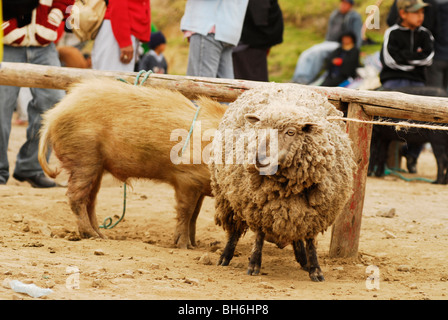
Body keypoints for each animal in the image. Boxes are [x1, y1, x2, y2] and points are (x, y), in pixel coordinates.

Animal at [37, 77, 228, 248]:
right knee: (76, 197)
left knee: (91, 200)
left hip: (97, 165)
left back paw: (102, 236)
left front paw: (194, 245)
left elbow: (195, 214)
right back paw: (91, 235)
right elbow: (186, 212)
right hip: (83, 155)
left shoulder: (198, 186)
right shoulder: (187, 178)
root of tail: (53, 115)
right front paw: (183, 246)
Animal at [210, 84, 356, 282]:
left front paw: (315, 270)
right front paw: (254, 265)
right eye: (260, 129)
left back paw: (303, 259)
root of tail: (278, 84)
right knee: (234, 230)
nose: (259, 158)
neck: (286, 186)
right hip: (227, 197)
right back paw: (225, 256)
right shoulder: (258, 206)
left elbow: (310, 240)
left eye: (291, 132)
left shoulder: (316, 213)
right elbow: (259, 236)